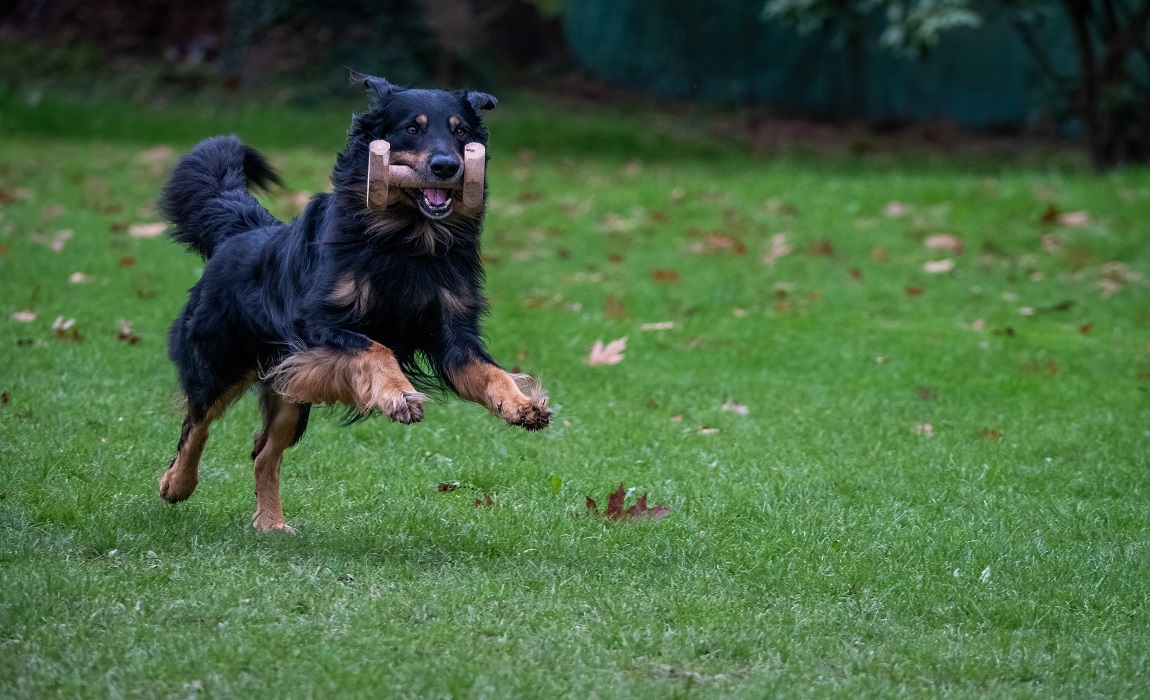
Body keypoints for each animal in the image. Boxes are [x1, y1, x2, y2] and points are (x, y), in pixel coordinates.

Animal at [159, 75, 549, 528]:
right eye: (411, 129)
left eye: (461, 132)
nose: (447, 166)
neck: (406, 239)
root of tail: (242, 232)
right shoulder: (317, 327)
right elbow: (375, 348)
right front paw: (398, 395)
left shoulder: (454, 335)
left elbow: (491, 372)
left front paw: (520, 403)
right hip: (219, 361)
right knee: (197, 423)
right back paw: (176, 484)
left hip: (290, 388)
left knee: (263, 452)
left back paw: (271, 523)